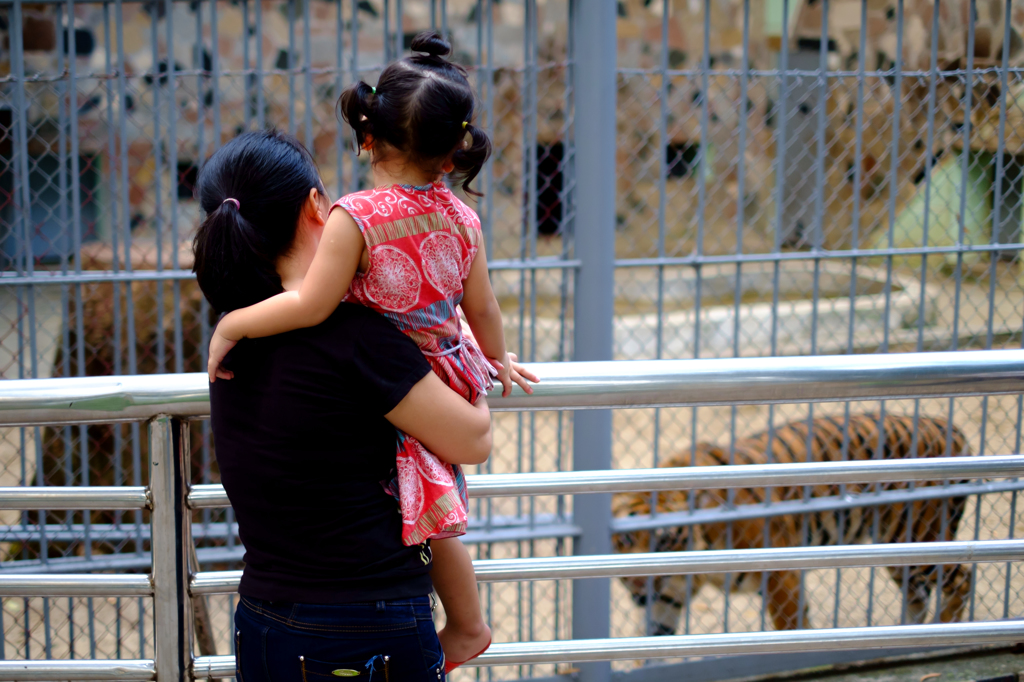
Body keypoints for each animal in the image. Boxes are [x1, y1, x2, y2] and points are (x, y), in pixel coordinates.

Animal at [610, 413, 970, 630]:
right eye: (626, 540)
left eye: (664, 540)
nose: (637, 587)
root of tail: (947, 425)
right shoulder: (666, 598)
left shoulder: (780, 576)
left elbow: (792, 627)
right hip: (897, 553)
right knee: (917, 596)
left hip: (919, 536)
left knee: (963, 577)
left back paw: (943, 628)